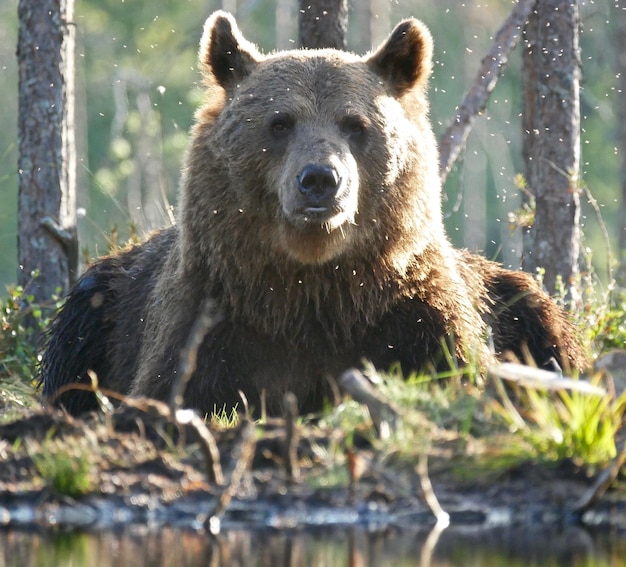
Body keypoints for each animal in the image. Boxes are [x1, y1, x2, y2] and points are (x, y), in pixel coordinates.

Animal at [40, 10, 584, 418]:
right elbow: (173, 387)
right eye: (280, 122)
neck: (312, 284)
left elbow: (458, 370)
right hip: (100, 303)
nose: (321, 179)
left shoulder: (415, 316)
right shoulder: (208, 315)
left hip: (525, 304)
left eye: (355, 124)